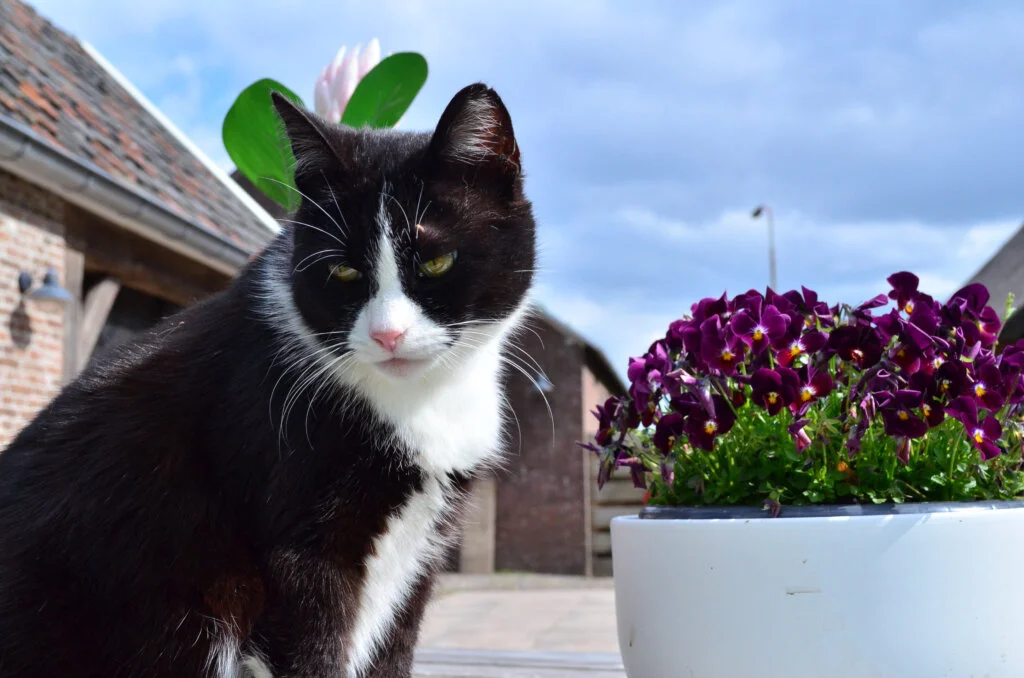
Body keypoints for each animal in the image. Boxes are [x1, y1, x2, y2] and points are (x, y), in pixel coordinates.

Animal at [0, 82, 540, 675]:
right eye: (343, 271)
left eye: (438, 262)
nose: (388, 335)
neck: (416, 403)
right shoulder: (298, 549)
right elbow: (316, 652)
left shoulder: (421, 550)